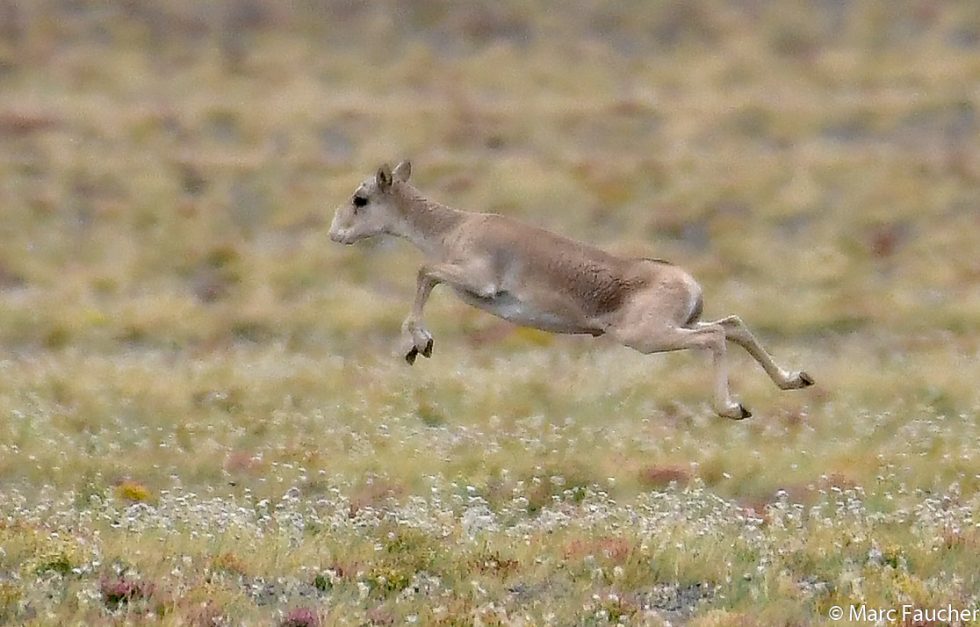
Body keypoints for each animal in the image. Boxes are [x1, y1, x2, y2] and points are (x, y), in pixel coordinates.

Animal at [329, 161, 814, 419]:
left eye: (360, 198)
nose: (335, 234)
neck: (454, 227)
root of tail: (687, 281)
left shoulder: (474, 279)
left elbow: (424, 271)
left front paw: (421, 342)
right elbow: (425, 273)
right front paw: (416, 346)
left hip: (648, 337)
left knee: (715, 336)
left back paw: (732, 408)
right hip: (679, 326)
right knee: (733, 325)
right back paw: (795, 379)